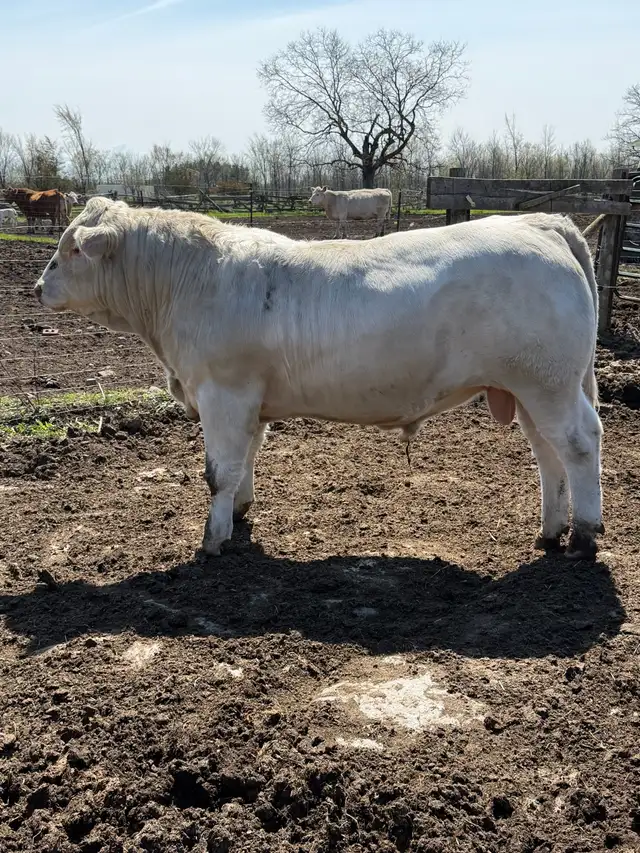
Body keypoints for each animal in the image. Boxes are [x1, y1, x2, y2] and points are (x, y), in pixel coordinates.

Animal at [35, 197, 604, 561]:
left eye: (72, 249)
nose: (39, 287)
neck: (188, 281)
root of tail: (540, 222)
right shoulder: (251, 401)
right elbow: (246, 460)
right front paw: (239, 515)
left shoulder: (222, 393)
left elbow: (218, 471)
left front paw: (212, 540)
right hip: (527, 388)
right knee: (547, 453)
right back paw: (550, 531)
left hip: (548, 383)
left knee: (579, 443)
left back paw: (584, 534)